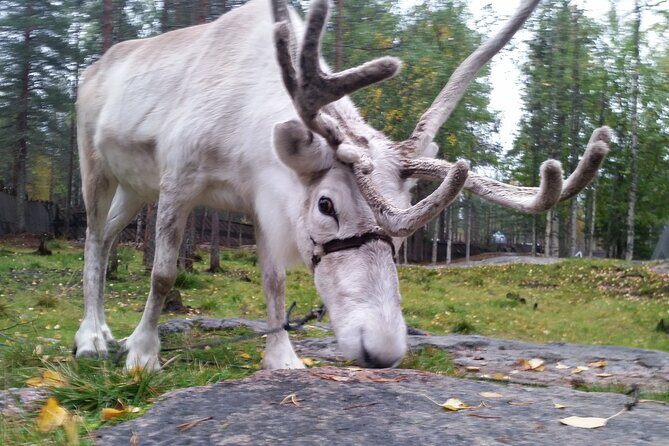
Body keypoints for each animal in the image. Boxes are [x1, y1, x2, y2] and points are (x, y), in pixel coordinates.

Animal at [73, 0, 610, 371]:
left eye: (404, 231)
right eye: (326, 205)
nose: (384, 350)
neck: (242, 137)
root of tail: (94, 66)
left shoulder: (263, 201)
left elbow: (273, 281)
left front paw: (283, 359)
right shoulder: (179, 178)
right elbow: (163, 273)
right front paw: (143, 354)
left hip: (136, 187)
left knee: (111, 235)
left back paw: (107, 331)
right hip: (95, 163)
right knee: (94, 237)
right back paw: (92, 338)